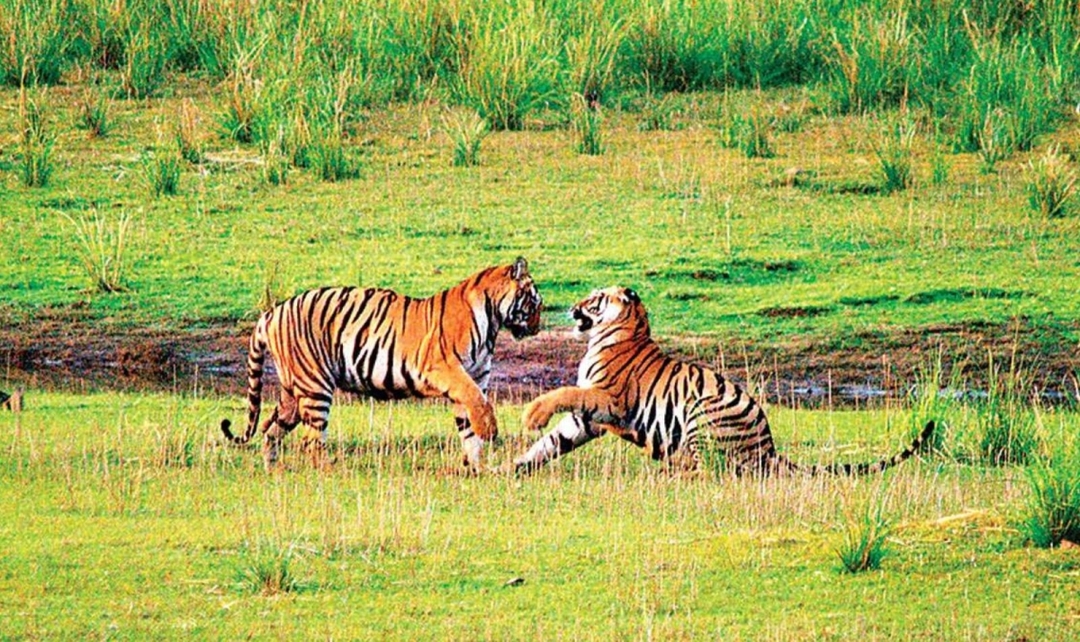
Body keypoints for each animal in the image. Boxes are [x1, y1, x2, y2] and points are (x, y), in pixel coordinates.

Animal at [221, 257, 542, 470]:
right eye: (535, 303)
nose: (538, 327)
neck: (493, 321)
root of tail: (270, 314)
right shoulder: (447, 370)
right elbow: (479, 403)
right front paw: (490, 431)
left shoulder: (474, 377)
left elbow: (468, 426)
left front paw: (475, 467)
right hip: (315, 387)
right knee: (310, 441)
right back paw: (329, 470)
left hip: (293, 392)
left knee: (270, 428)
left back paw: (273, 469)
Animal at [516, 286, 934, 476]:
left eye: (595, 298)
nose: (572, 308)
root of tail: (769, 447)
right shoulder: (590, 418)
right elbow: (553, 442)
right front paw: (515, 467)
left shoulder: (608, 399)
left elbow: (564, 392)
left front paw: (532, 415)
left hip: (702, 410)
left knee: (711, 470)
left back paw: (671, 475)